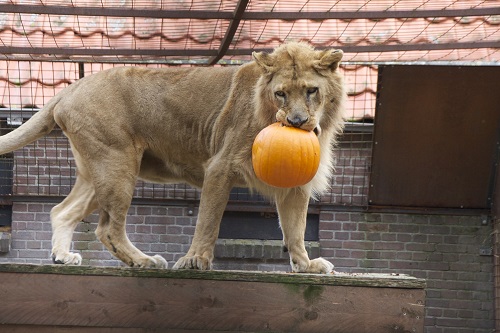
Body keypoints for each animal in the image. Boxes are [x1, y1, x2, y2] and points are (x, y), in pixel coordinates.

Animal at [0, 42, 344, 272]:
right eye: (281, 93)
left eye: (311, 90)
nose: (297, 121)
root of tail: (69, 89)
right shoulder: (220, 166)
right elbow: (208, 220)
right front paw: (195, 260)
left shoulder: (297, 185)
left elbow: (296, 229)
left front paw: (306, 265)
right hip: (117, 164)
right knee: (108, 229)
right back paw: (144, 261)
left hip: (96, 170)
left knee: (62, 210)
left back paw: (62, 256)